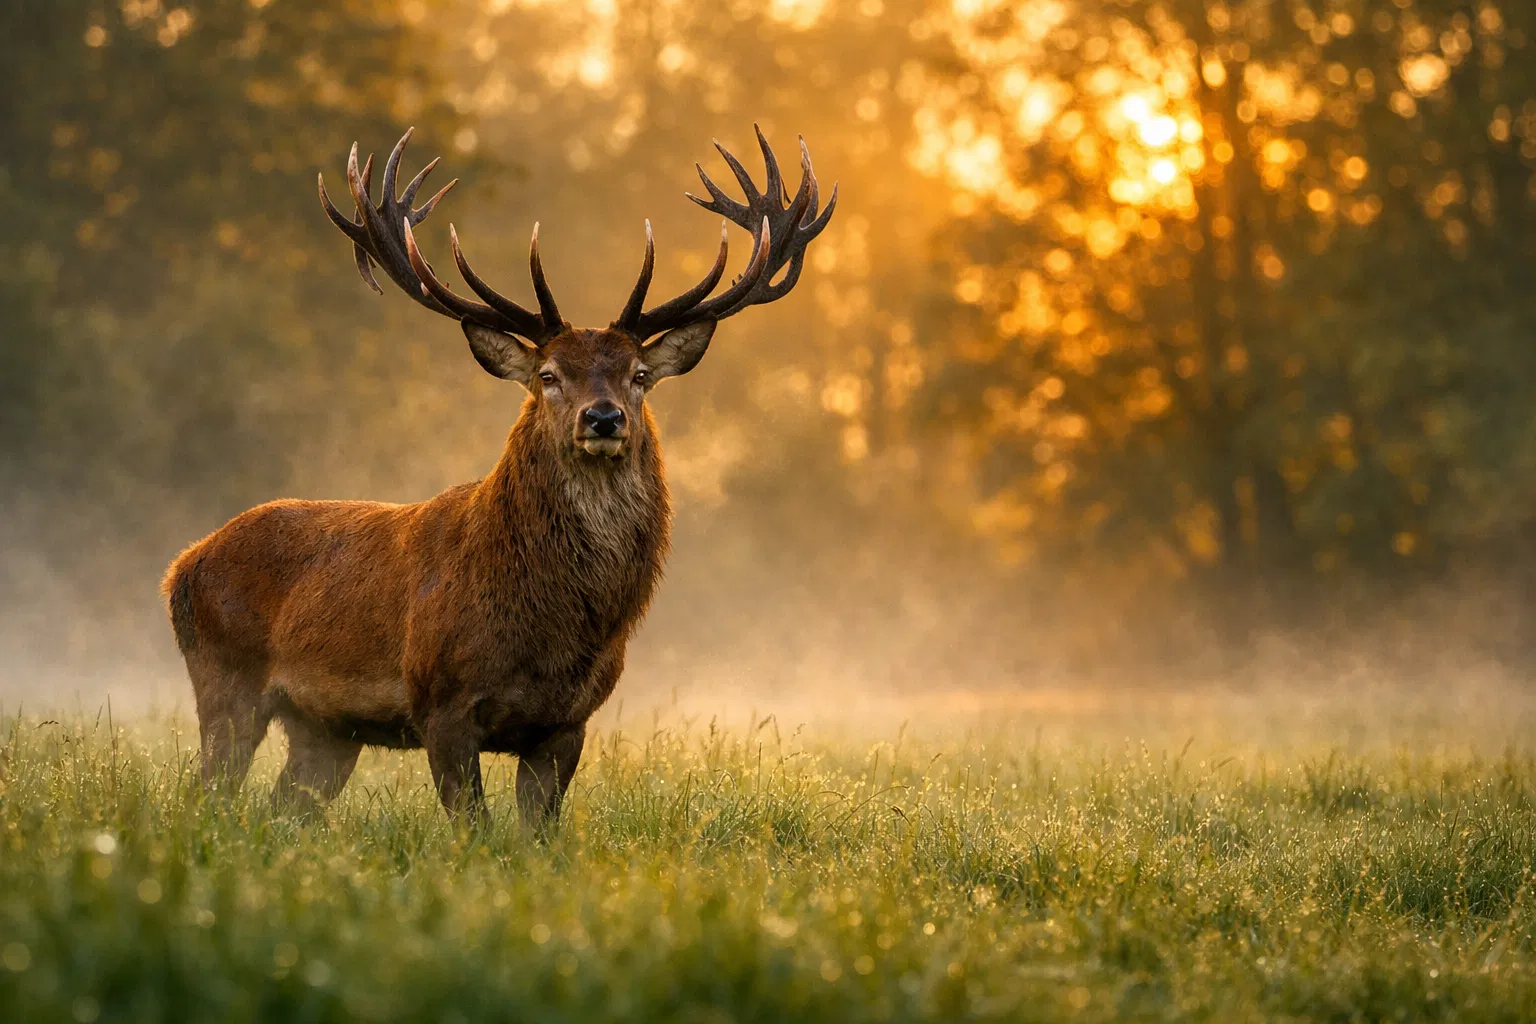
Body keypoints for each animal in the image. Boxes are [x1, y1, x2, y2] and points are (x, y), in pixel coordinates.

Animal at [160, 125, 835, 828]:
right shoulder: (441, 703)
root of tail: (183, 565)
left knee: (284, 808)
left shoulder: (568, 723)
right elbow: (474, 829)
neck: (549, 632)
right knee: (209, 794)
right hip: (225, 680)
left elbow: (537, 833)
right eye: (548, 375)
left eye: (640, 375)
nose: (603, 417)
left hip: (325, 729)